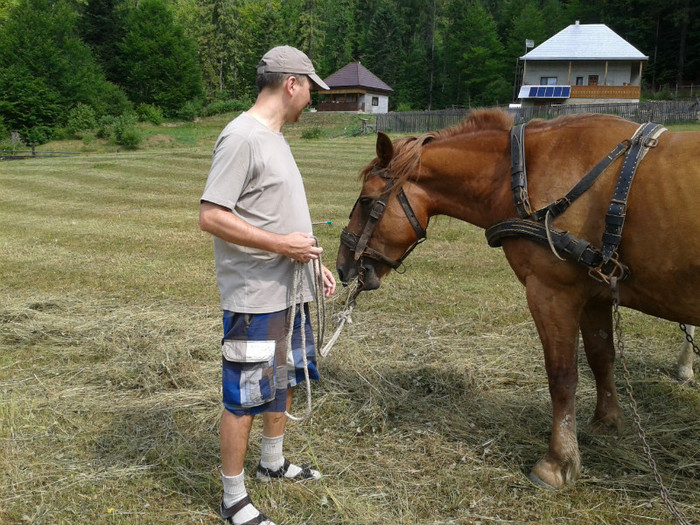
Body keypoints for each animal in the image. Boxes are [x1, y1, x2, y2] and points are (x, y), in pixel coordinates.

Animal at [334, 108, 700, 490]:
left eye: (366, 201)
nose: (343, 265)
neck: (527, 172)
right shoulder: (595, 293)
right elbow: (602, 358)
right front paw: (607, 422)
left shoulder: (551, 292)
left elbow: (562, 375)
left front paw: (558, 461)